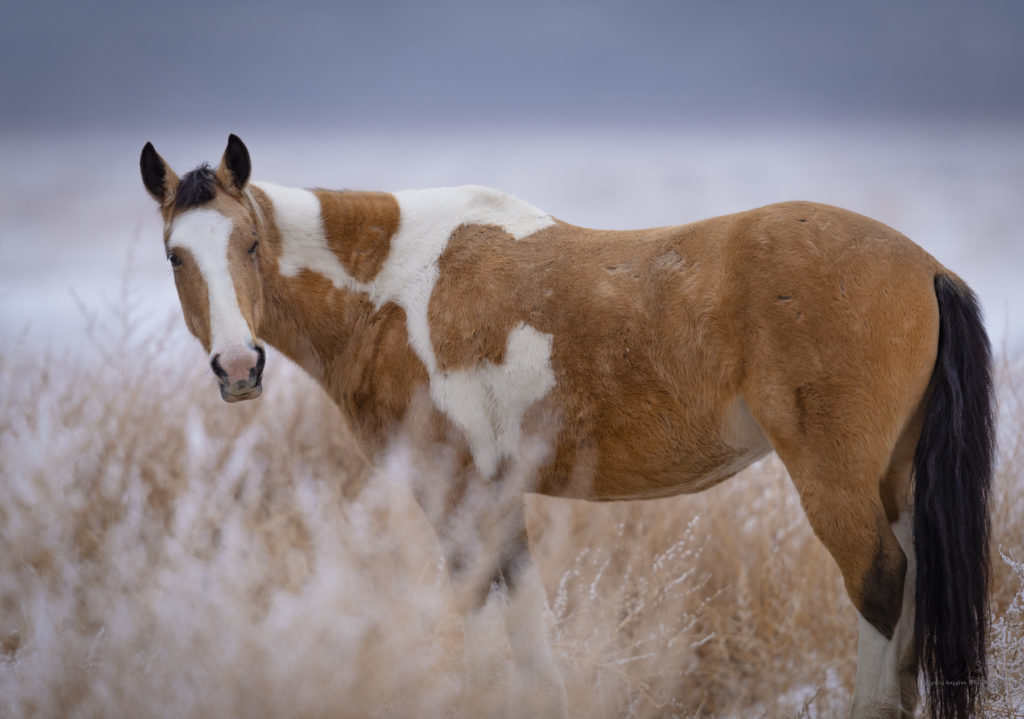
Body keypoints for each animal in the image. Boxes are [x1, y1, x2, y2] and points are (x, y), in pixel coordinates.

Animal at [140, 135, 995, 719]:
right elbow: (529, 639)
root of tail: (926, 267)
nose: (238, 365)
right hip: (896, 485)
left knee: (880, 584)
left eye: (251, 243)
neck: (391, 289)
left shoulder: (454, 494)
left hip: (838, 484)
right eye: (175, 255)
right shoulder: (492, 496)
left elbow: (484, 634)